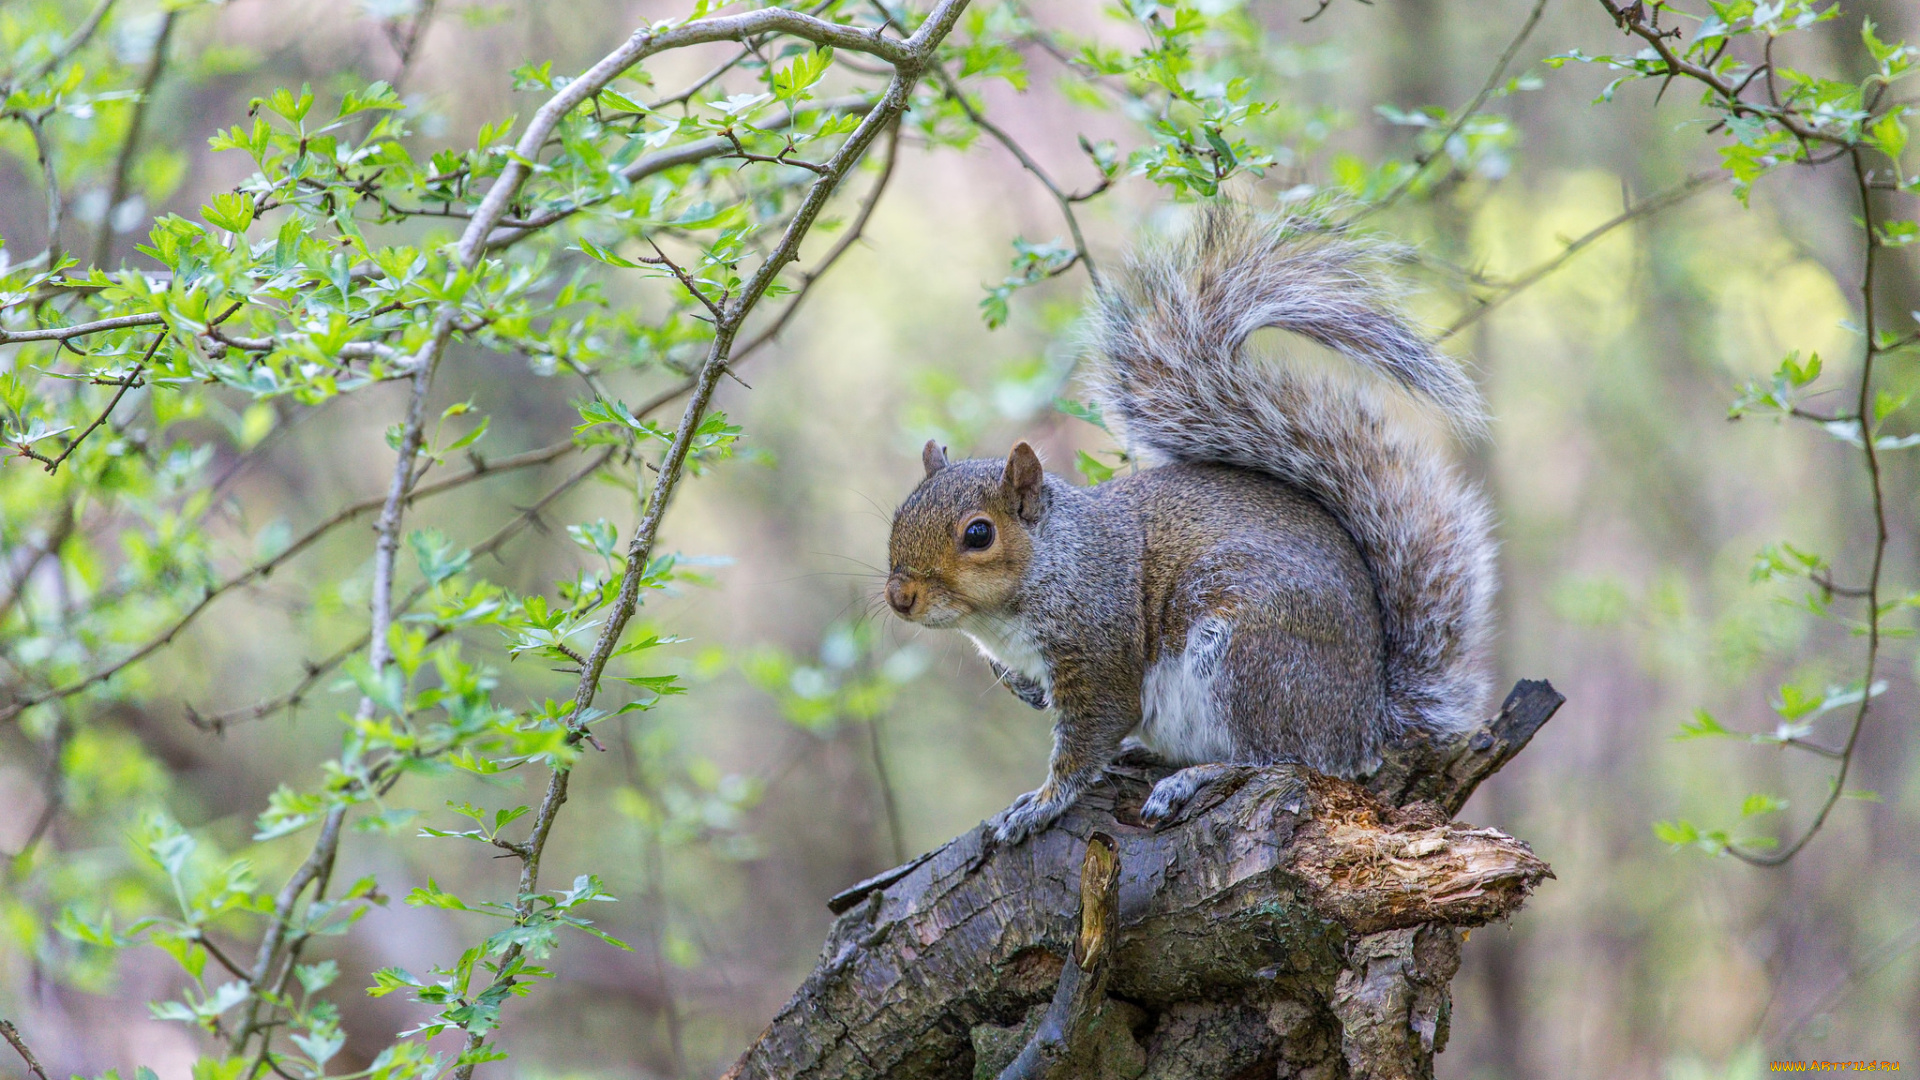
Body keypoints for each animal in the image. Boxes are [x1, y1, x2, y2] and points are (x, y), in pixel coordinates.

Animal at [883, 203, 1497, 841]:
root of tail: (1366, 719)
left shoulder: (1100, 650)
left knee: (1280, 758)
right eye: (900, 512)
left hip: (1249, 655)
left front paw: (1042, 803)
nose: (899, 597)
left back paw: (1197, 776)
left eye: (978, 534)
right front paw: (1026, 693)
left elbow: (1089, 738)